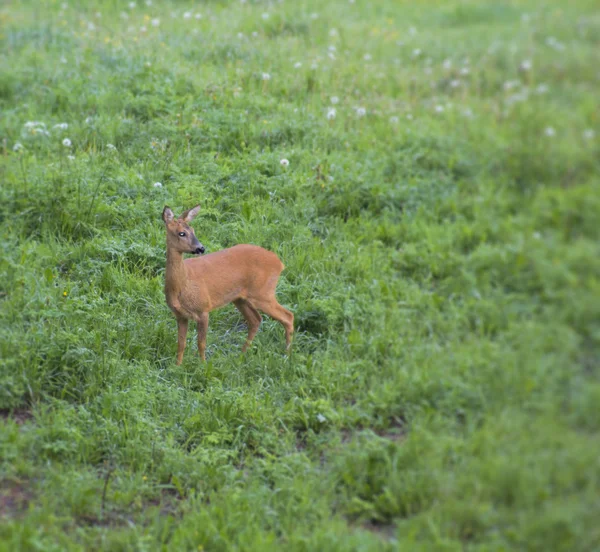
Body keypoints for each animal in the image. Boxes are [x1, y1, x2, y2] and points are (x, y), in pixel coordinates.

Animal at [163, 205, 294, 364]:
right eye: (181, 233)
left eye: (193, 230)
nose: (201, 248)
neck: (182, 285)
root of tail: (279, 263)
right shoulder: (180, 315)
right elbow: (181, 343)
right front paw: (177, 366)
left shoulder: (204, 309)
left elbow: (201, 343)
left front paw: (203, 365)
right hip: (240, 298)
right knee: (256, 320)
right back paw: (241, 355)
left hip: (263, 293)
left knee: (288, 316)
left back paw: (287, 355)